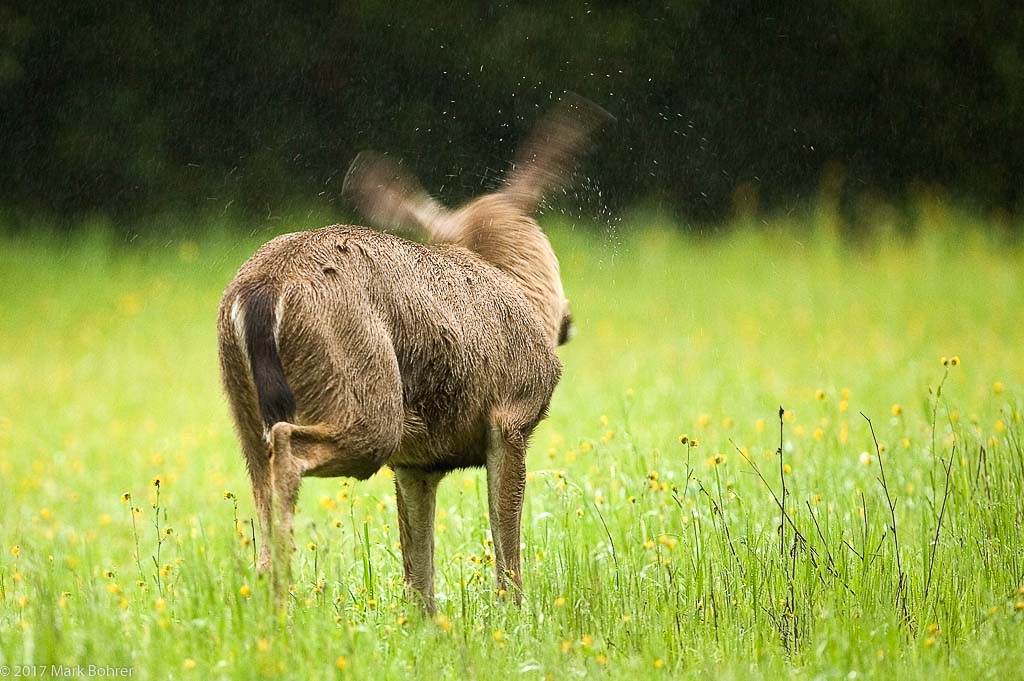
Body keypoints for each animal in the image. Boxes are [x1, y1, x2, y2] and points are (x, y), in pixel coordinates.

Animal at [217, 95, 610, 610]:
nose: (568, 318)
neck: (516, 286)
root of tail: (263, 289)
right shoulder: (511, 417)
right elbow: (506, 546)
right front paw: (515, 614)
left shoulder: (416, 462)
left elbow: (418, 570)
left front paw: (424, 622)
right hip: (367, 400)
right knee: (287, 448)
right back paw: (284, 592)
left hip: (244, 405)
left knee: (260, 485)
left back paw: (267, 599)